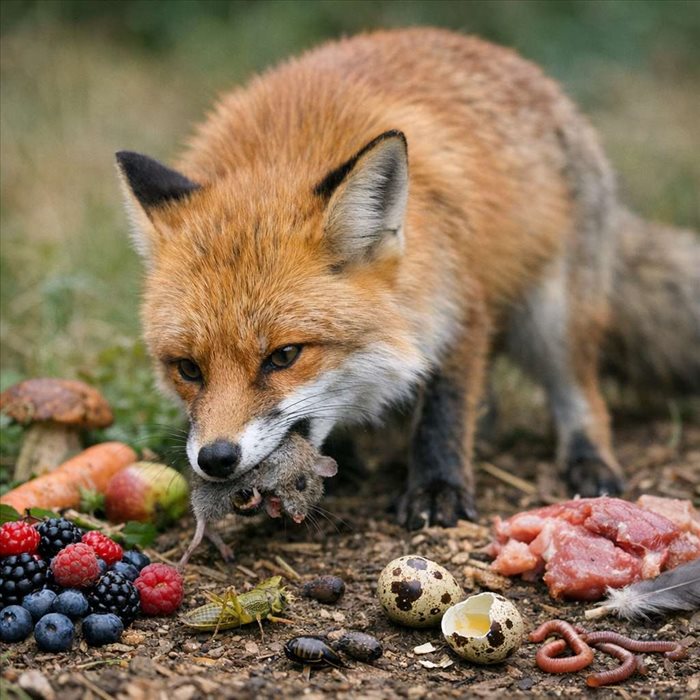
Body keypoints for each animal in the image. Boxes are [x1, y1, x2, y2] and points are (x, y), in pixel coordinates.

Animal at [116, 28, 700, 530]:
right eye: (188, 369)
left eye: (284, 356)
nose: (215, 458)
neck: (285, 151)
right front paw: (344, 465)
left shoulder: (459, 304)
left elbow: (444, 410)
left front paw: (438, 489)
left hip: (553, 317)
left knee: (583, 396)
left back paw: (587, 460)